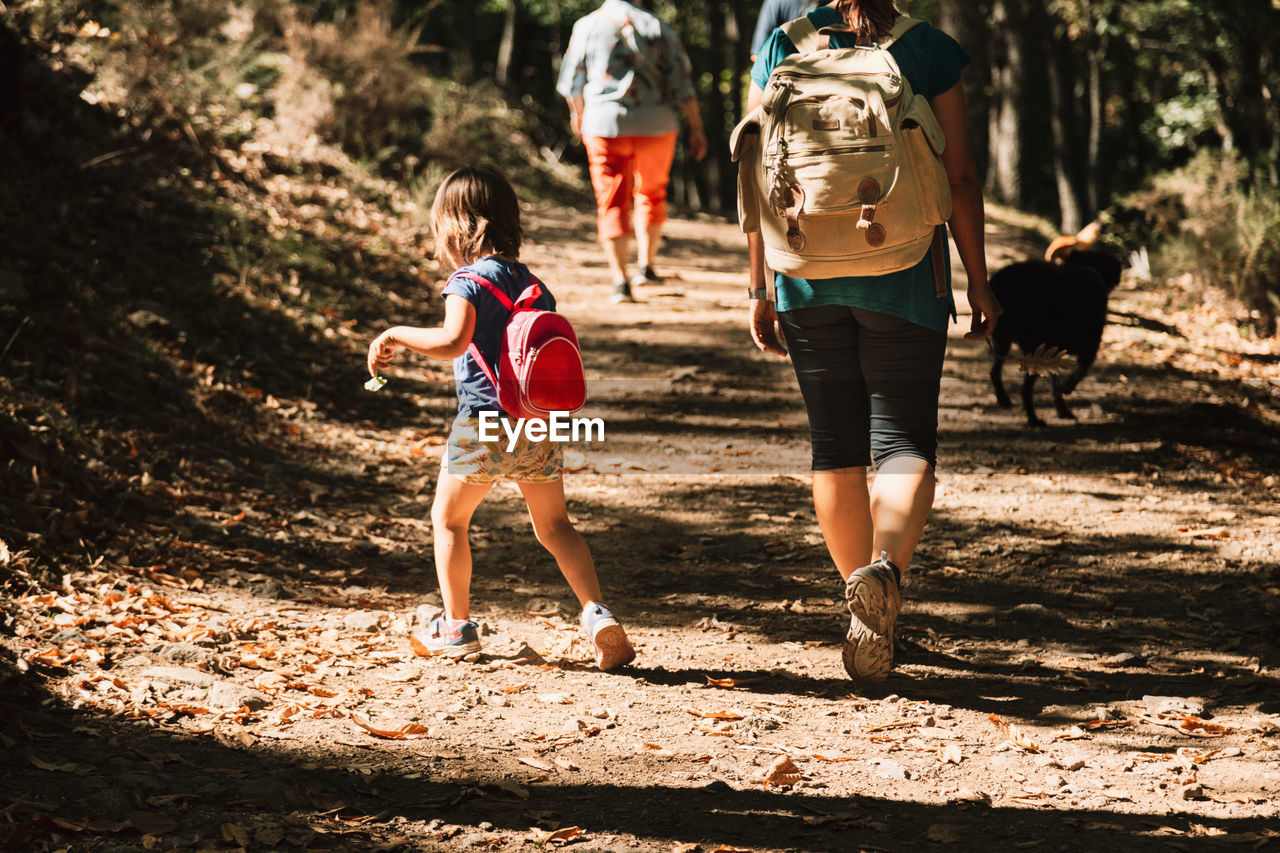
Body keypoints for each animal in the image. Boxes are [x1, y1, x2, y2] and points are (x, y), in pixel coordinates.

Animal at [988, 249, 1121, 425]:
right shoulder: (1090, 348)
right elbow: (1079, 372)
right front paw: (1067, 390)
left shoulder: (1052, 353)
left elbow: (1055, 382)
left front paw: (1062, 407)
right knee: (1025, 388)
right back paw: (1033, 419)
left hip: (1003, 342)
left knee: (995, 372)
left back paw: (1004, 399)